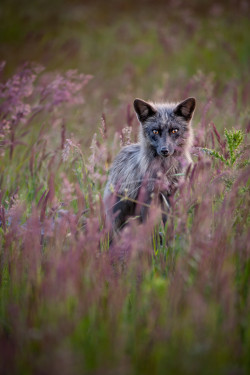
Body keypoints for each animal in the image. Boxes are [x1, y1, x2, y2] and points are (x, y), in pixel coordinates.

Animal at [103, 95, 195, 234]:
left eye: (174, 130)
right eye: (155, 131)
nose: (164, 150)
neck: (166, 171)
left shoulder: (171, 196)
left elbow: (167, 224)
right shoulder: (148, 198)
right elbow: (152, 228)